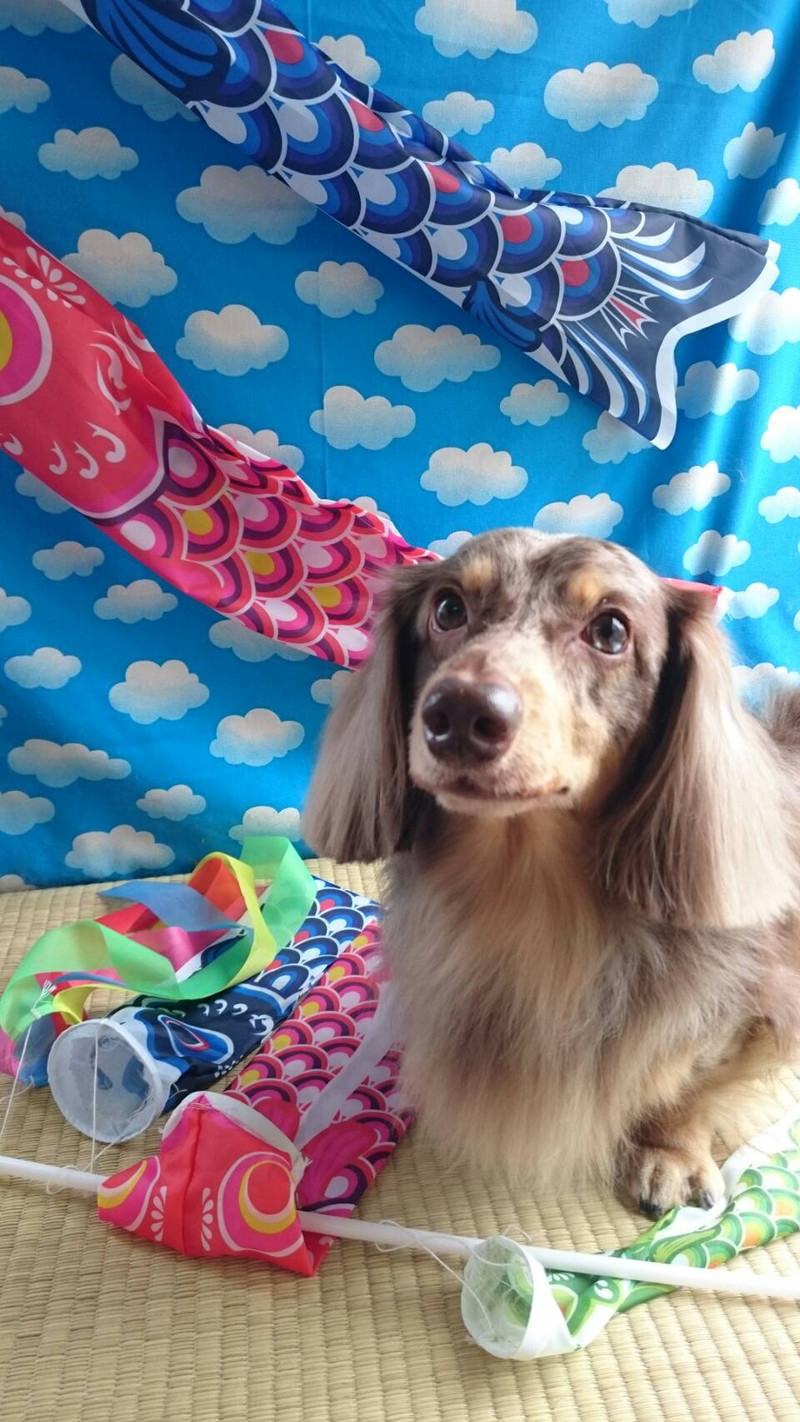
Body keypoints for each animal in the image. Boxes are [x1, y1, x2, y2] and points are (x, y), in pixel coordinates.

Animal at [304, 529, 800, 1217]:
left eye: (611, 631)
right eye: (448, 609)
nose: (459, 714)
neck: (530, 893)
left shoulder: (747, 1003)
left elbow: (686, 1078)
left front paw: (668, 1150)